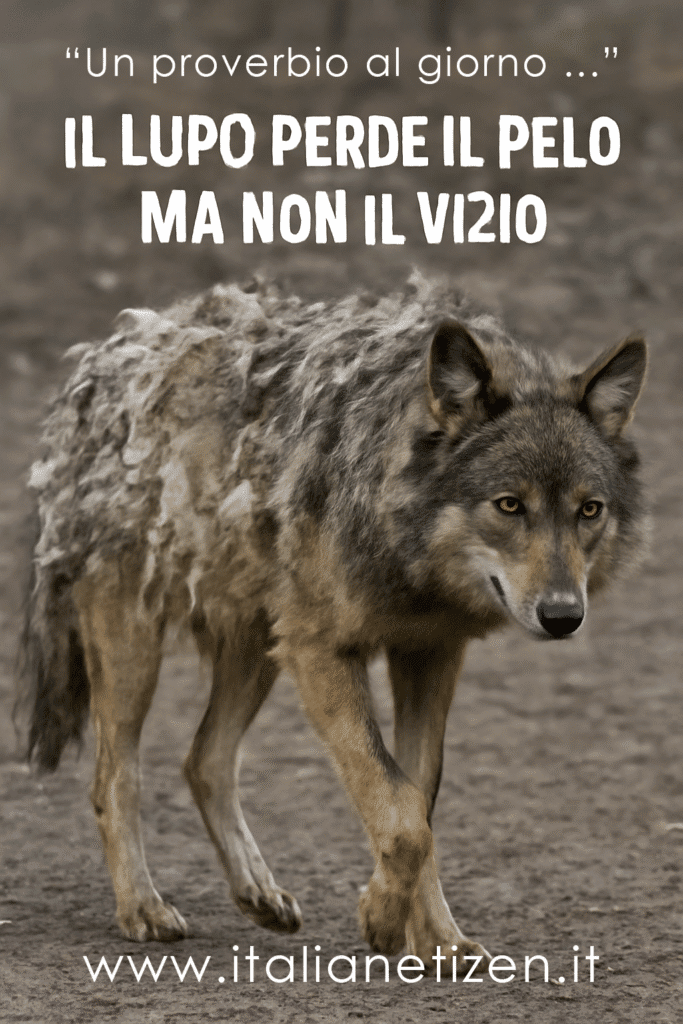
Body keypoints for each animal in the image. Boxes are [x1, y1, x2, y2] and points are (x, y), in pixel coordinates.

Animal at [21, 273, 647, 967]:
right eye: (510, 505)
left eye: (588, 510)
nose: (563, 616)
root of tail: (111, 351)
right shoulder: (323, 652)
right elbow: (400, 813)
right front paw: (381, 920)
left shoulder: (430, 655)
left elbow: (416, 803)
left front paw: (436, 939)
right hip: (140, 642)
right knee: (116, 776)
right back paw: (142, 907)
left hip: (259, 647)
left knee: (204, 759)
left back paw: (257, 892)